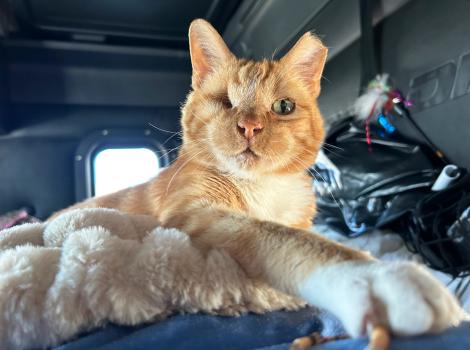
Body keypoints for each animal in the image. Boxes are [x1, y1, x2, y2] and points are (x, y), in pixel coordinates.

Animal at [54, 20, 462, 338]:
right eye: (225, 102)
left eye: (283, 106)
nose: (249, 127)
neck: (264, 188)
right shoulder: (195, 213)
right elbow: (283, 238)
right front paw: (372, 276)